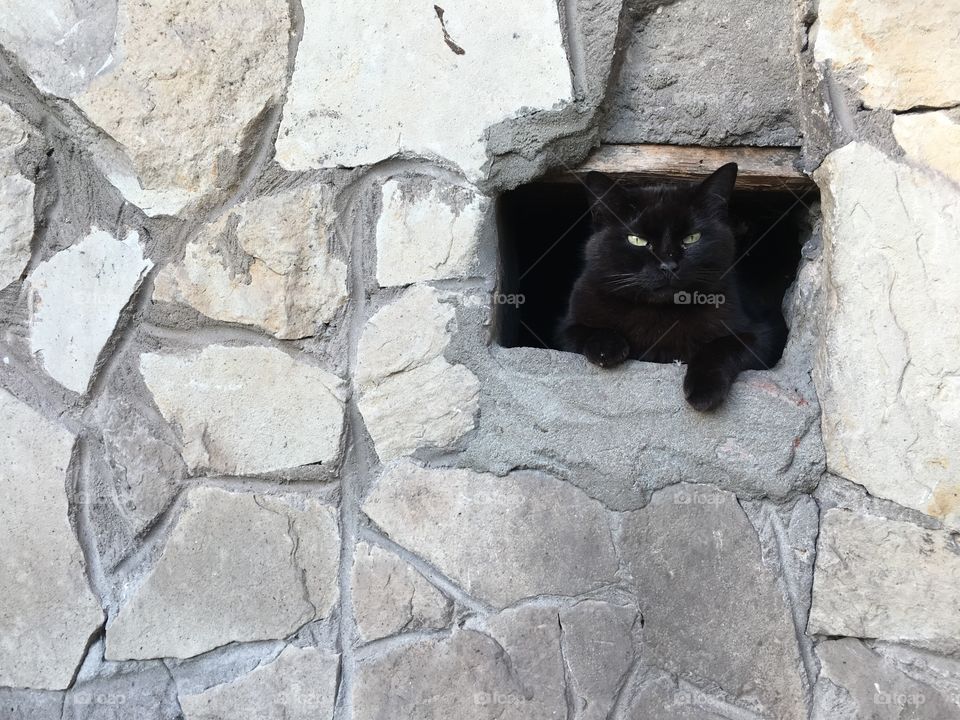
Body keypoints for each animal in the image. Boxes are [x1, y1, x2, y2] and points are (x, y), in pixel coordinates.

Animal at [556, 164, 788, 410]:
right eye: (637, 240)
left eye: (692, 238)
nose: (668, 266)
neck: (660, 314)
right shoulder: (565, 328)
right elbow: (584, 331)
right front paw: (607, 347)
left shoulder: (763, 336)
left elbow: (722, 346)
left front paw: (704, 390)